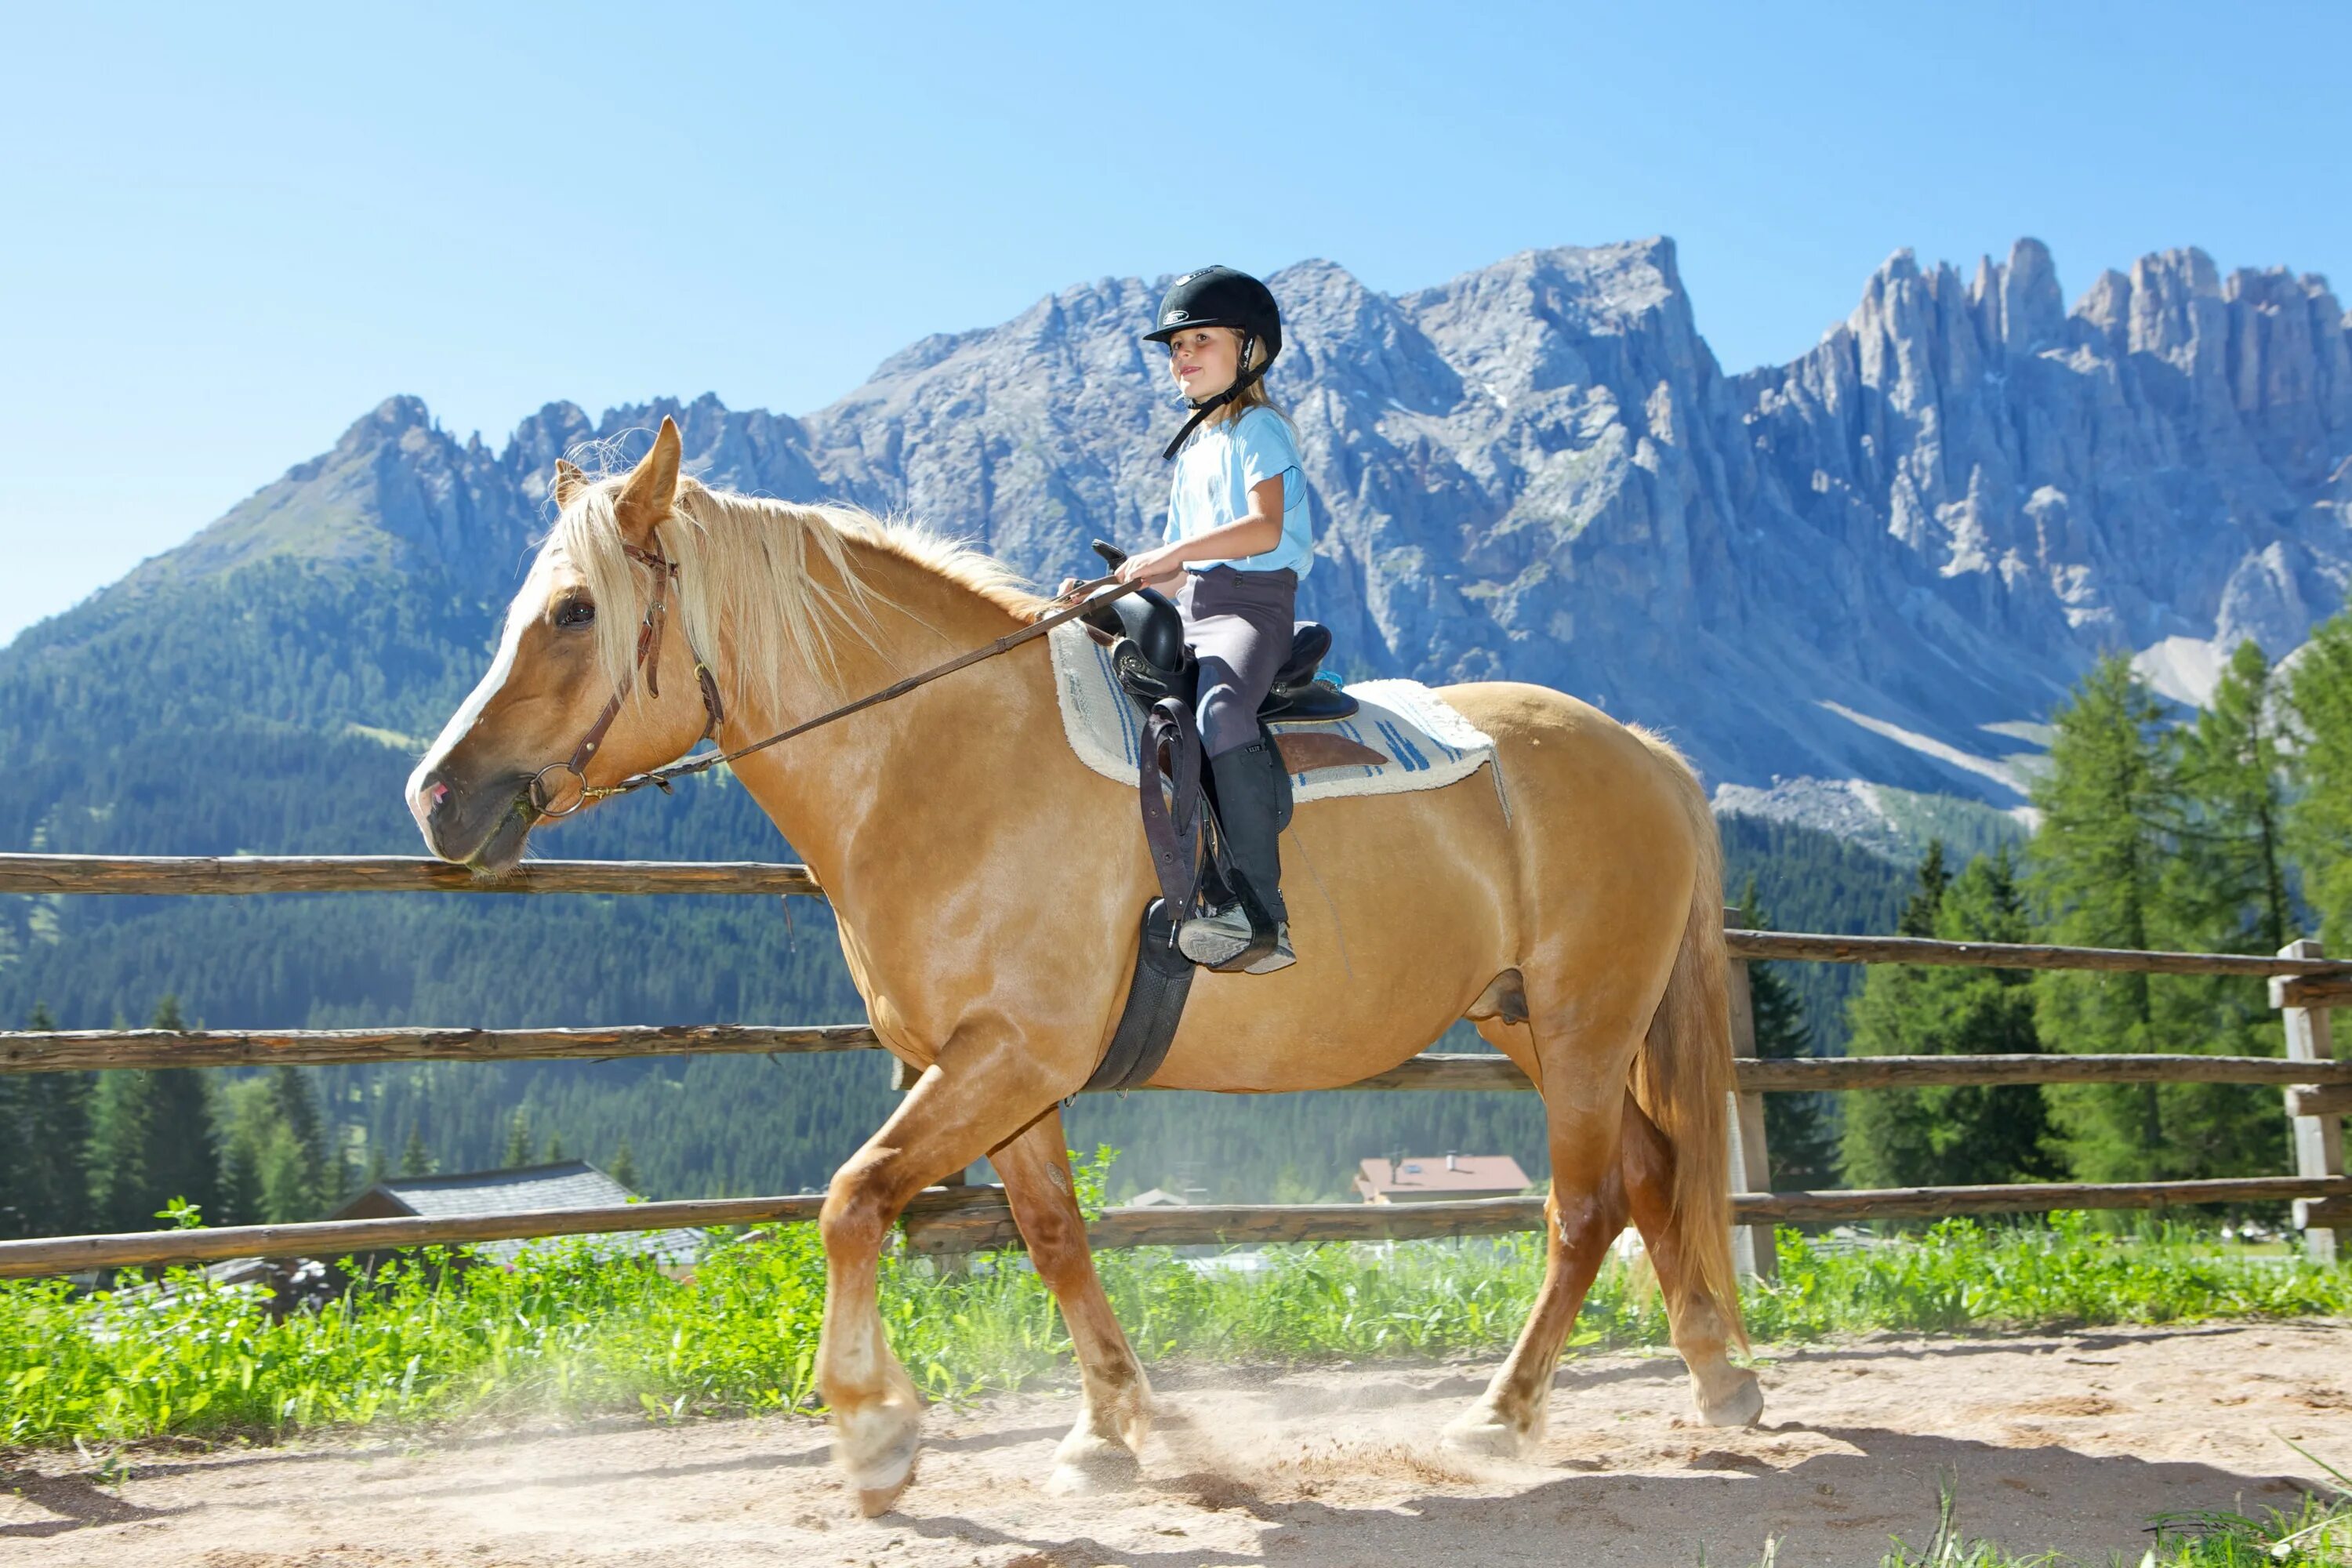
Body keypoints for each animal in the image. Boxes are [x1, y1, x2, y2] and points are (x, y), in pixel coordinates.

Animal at [405, 420, 1769, 1523]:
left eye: (574, 612)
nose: (436, 797)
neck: (940, 756)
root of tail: (1643, 751)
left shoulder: (1010, 1055)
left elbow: (853, 1200)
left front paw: (876, 1438)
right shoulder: (1004, 1071)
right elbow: (1054, 1237)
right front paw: (1117, 1430)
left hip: (1586, 1024)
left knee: (1581, 1208)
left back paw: (1501, 1417)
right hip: (1533, 1022)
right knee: (1654, 1173)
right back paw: (1720, 1380)